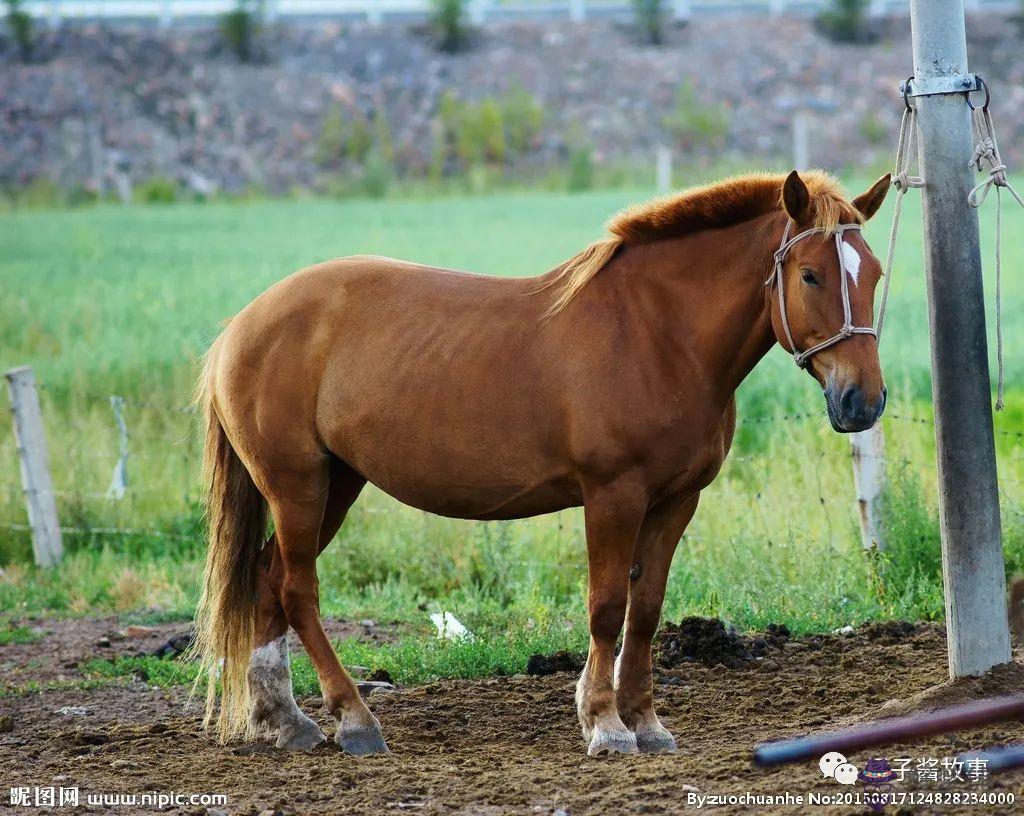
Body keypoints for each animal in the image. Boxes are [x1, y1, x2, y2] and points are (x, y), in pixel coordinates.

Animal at [192, 168, 888, 753]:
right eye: (811, 275)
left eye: (876, 273)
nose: (863, 401)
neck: (657, 335)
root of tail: (241, 326)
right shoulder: (613, 495)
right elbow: (607, 606)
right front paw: (605, 724)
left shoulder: (675, 501)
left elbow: (647, 609)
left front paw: (646, 722)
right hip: (297, 486)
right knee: (296, 589)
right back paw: (355, 720)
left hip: (337, 484)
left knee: (266, 581)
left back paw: (285, 721)